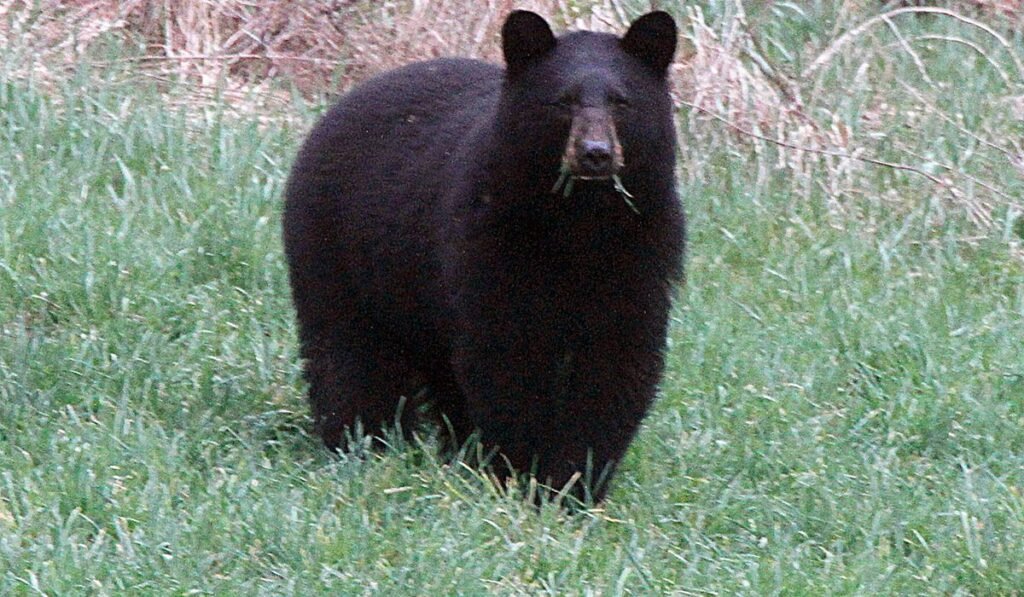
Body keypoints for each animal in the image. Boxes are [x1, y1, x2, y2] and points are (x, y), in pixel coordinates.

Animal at [282, 10, 684, 504]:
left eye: (622, 102)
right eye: (563, 102)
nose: (595, 154)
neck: (579, 224)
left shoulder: (641, 254)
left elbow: (615, 366)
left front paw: (575, 485)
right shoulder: (490, 244)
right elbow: (504, 359)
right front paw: (519, 474)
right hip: (337, 249)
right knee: (348, 352)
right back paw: (362, 441)